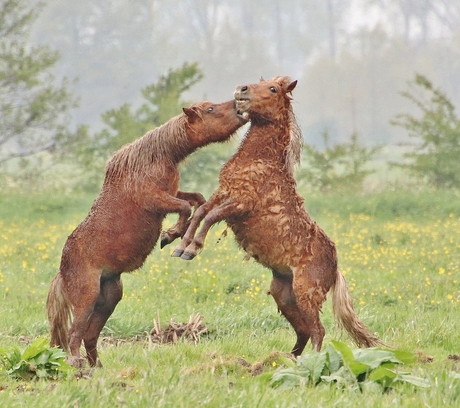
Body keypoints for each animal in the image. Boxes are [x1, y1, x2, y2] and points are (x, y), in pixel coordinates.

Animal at [171, 78, 382, 356]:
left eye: (273, 89)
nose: (241, 90)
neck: (259, 160)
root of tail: (335, 267)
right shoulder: (224, 192)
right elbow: (201, 213)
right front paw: (181, 246)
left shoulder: (242, 203)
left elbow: (209, 216)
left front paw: (192, 248)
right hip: (284, 295)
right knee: (303, 331)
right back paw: (281, 360)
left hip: (307, 293)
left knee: (318, 330)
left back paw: (310, 363)